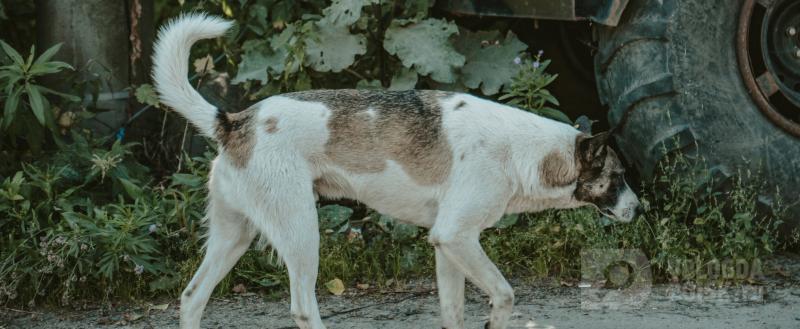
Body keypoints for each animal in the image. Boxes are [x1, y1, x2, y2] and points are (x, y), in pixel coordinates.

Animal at [155, 13, 644, 328]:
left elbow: (454, 313)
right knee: (302, 308)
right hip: (301, 232)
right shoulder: (456, 237)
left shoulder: (449, 246)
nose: (640, 210)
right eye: (619, 176)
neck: (521, 149)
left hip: (234, 236)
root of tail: (236, 121)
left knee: (191, 298)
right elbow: (505, 294)